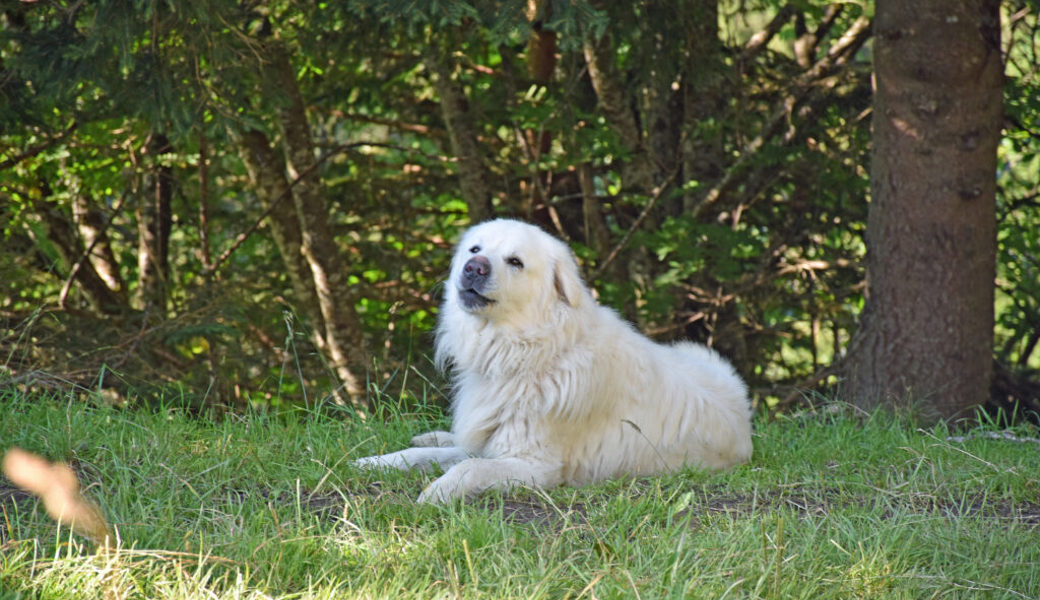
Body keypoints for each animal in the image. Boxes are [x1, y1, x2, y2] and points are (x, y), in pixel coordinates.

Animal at [361, 218, 752, 501]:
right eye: (475, 248)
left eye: (515, 262)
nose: (473, 267)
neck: (528, 350)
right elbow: (424, 457)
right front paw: (372, 462)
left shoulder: (534, 466)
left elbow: (468, 468)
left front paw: (437, 491)